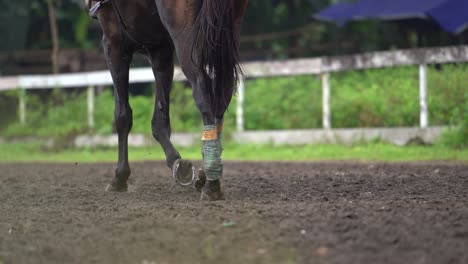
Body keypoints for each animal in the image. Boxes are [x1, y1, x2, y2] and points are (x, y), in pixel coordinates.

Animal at [88, 0, 249, 201]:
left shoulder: (113, 40)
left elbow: (122, 115)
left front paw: (120, 177)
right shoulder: (159, 47)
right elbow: (160, 118)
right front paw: (181, 165)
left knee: (203, 94)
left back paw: (211, 183)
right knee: (222, 95)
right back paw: (209, 172)